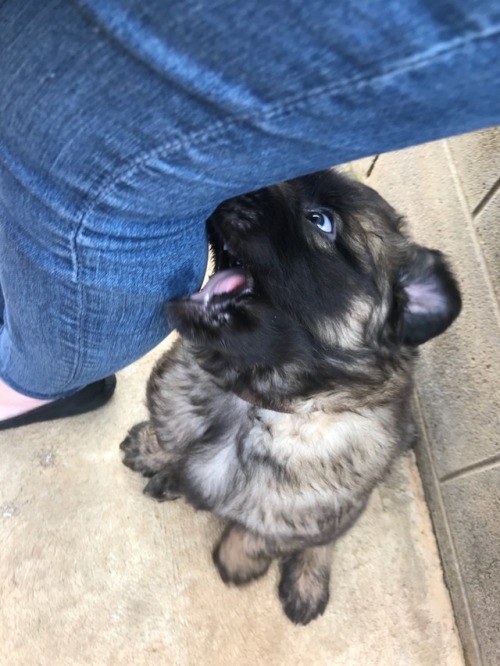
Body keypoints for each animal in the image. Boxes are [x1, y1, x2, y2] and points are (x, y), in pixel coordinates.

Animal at [120, 167, 460, 624]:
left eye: (321, 221)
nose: (221, 186)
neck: (253, 402)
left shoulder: (308, 512)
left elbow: (258, 536)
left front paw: (237, 563)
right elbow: (167, 439)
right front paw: (149, 448)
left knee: (324, 542)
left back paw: (307, 583)